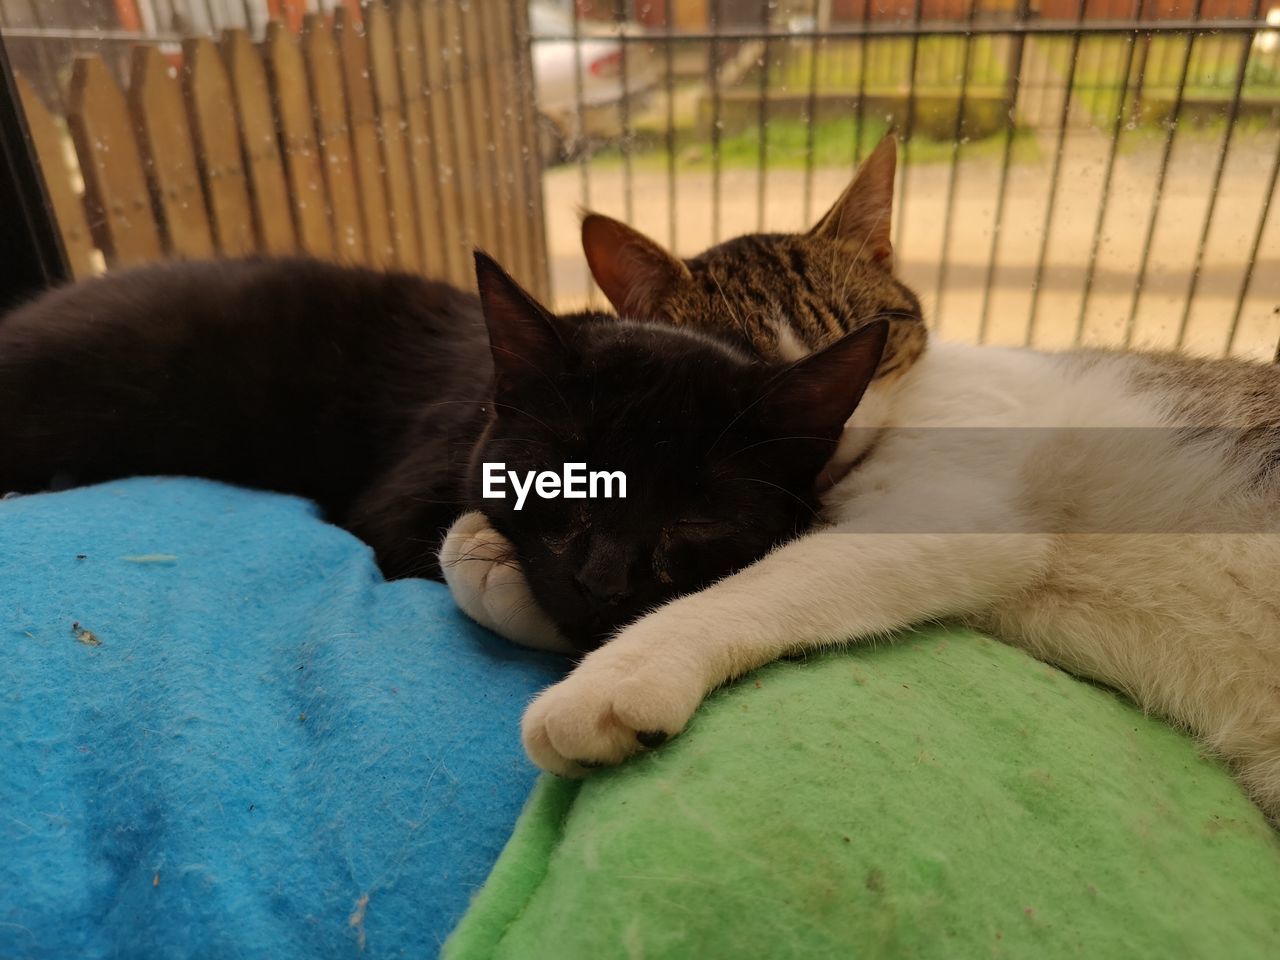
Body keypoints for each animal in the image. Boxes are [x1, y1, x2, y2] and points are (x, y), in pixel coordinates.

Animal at [442, 138, 1280, 824]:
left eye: (867, 343)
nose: (834, 424)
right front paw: (496, 570)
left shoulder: (955, 517)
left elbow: (769, 577)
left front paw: (616, 675)